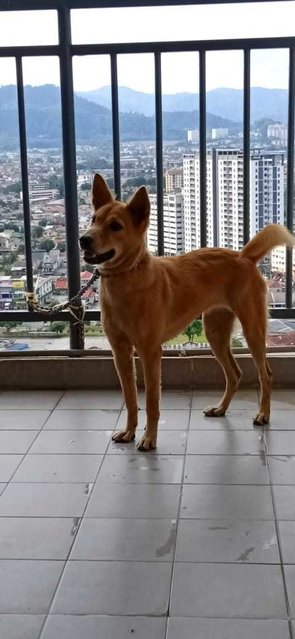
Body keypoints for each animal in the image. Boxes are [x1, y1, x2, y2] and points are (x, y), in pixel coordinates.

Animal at [80, 174, 295, 450]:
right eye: (93, 219)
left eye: (116, 226)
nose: (84, 239)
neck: (126, 278)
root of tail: (244, 256)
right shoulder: (121, 353)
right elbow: (130, 398)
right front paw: (129, 432)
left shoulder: (150, 353)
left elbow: (151, 400)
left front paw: (149, 438)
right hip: (215, 333)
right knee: (234, 374)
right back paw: (220, 409)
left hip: (253, 331)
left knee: (265, 374)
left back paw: (264, 414)